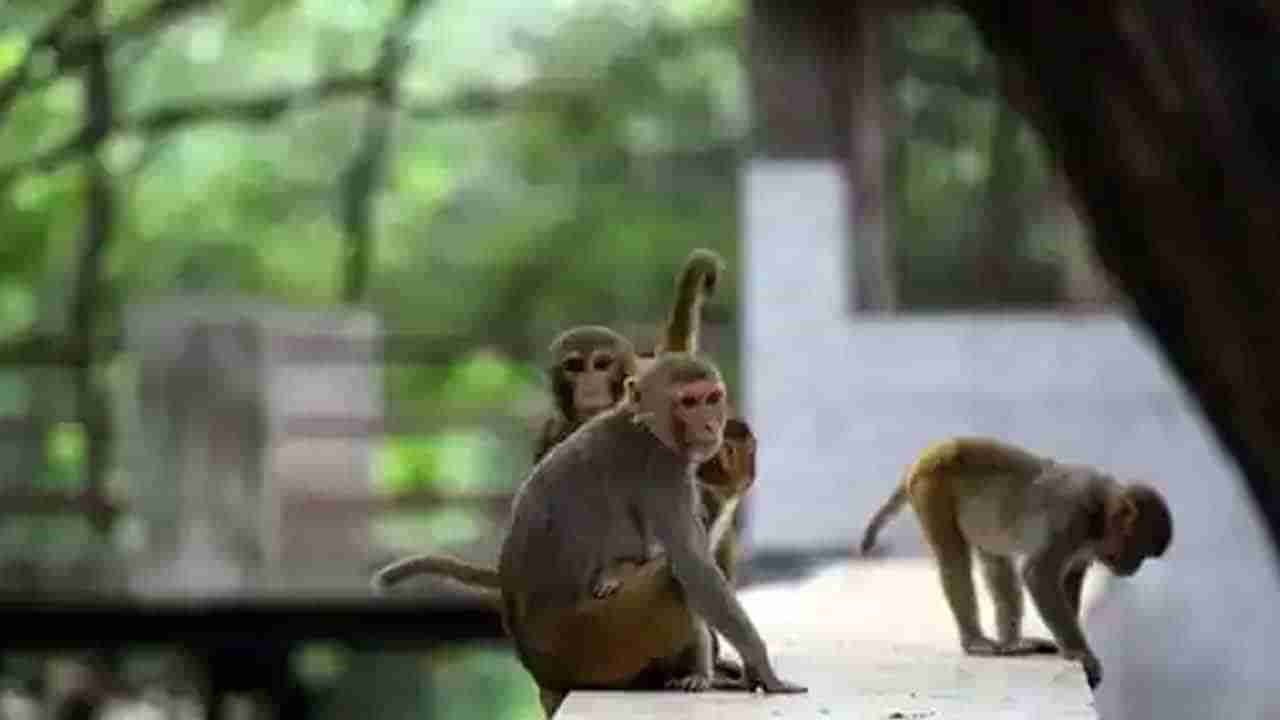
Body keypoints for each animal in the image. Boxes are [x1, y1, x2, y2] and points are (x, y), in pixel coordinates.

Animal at [500, 354, 805, 715]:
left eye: (712, 398)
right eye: (689, 402)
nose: (710, 426)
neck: (644, 425)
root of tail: (538, 670)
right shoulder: (665, 468)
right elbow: (693, 566)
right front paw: (761, 667)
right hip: (598, 642)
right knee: (671, 578)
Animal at [858, 436, 1173, 690]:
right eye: (1138, 550)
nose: (1133, 568)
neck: (1101, 511)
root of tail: (930, 453)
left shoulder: (1086, 543)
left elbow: (1069, 575)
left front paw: (1066, 648)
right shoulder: (1072, 517)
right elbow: (1038, 575)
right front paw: (1080, 653)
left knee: (996, 564)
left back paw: (1012, 644)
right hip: (932, 489)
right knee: (954, 561)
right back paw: (975, 641)